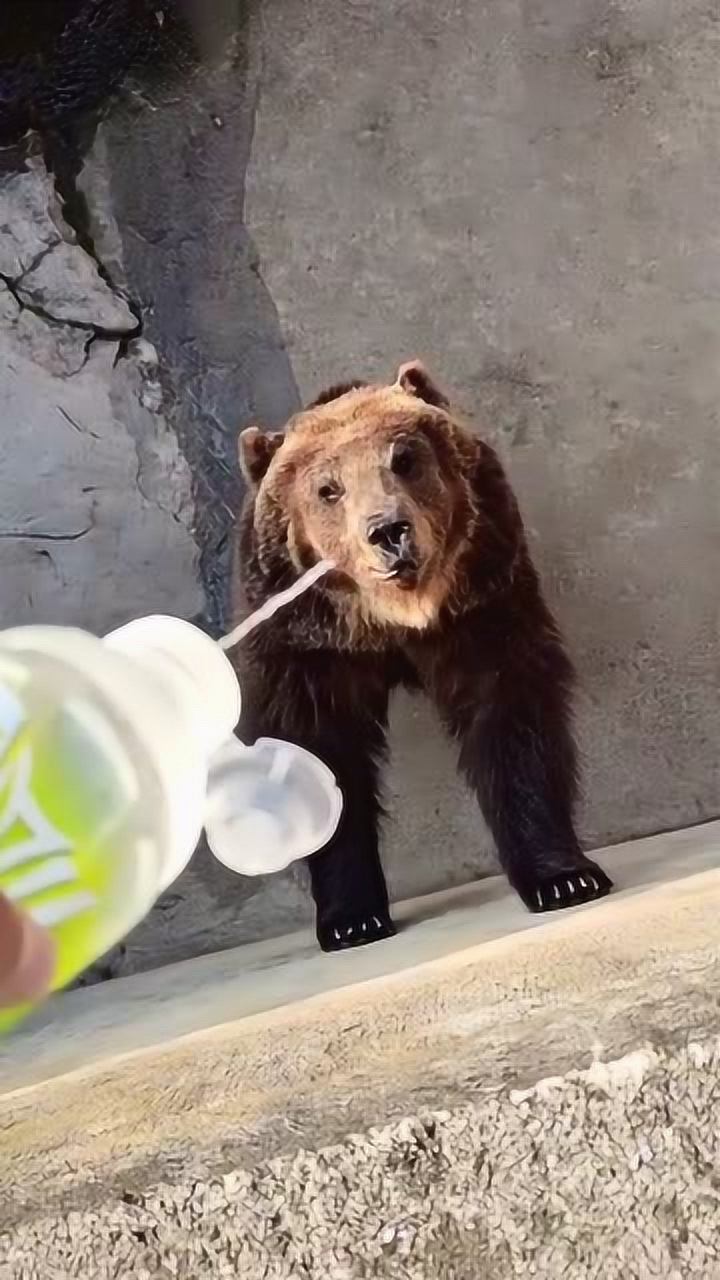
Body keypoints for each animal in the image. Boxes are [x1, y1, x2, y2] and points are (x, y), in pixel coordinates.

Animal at [233, 360, 613, 952]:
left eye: (404, 459)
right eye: (327, 488)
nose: (388, 530)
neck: (393, 622)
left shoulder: (481, 608)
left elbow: (511, 719)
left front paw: (564, 876)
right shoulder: (309, 649)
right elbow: (324, 751)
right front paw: (352, 919)